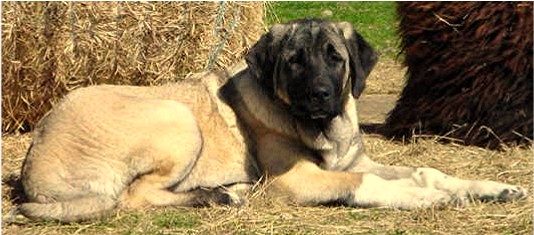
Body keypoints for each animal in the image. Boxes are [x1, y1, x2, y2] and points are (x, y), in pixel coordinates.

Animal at [18, 18, 528, 222]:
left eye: (335, 58)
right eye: (294, 61)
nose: (321, 95)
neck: (323, 129)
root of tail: (31, 166)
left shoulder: (353, 161)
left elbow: (426, 168)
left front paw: (489, 187)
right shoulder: (300, 178)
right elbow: (368, 184)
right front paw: (423, 197)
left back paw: (226, 193)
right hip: (177, 115)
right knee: (133, 196)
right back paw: (220, 197)